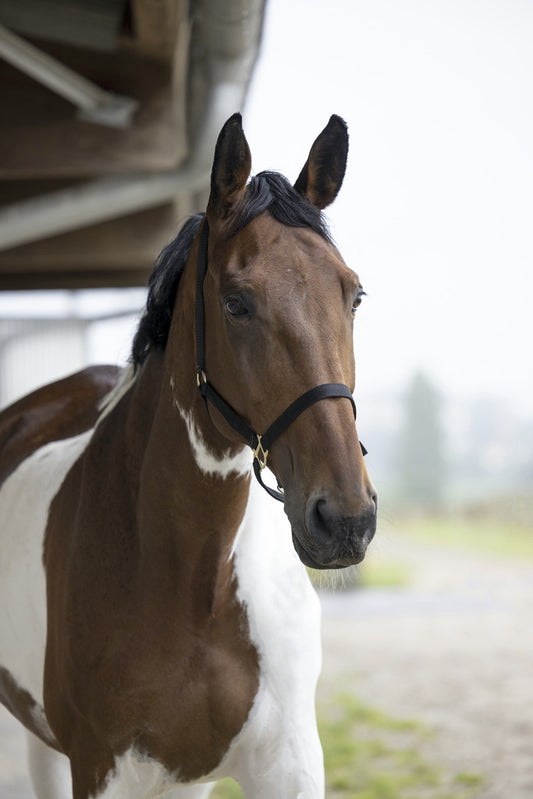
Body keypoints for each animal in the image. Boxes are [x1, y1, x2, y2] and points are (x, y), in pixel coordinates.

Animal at [0, 114, 376, 799]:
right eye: (236, 302)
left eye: (353, 295)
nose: (345, 521)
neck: (193, 583)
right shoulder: (100, 767)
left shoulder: (286, 762)